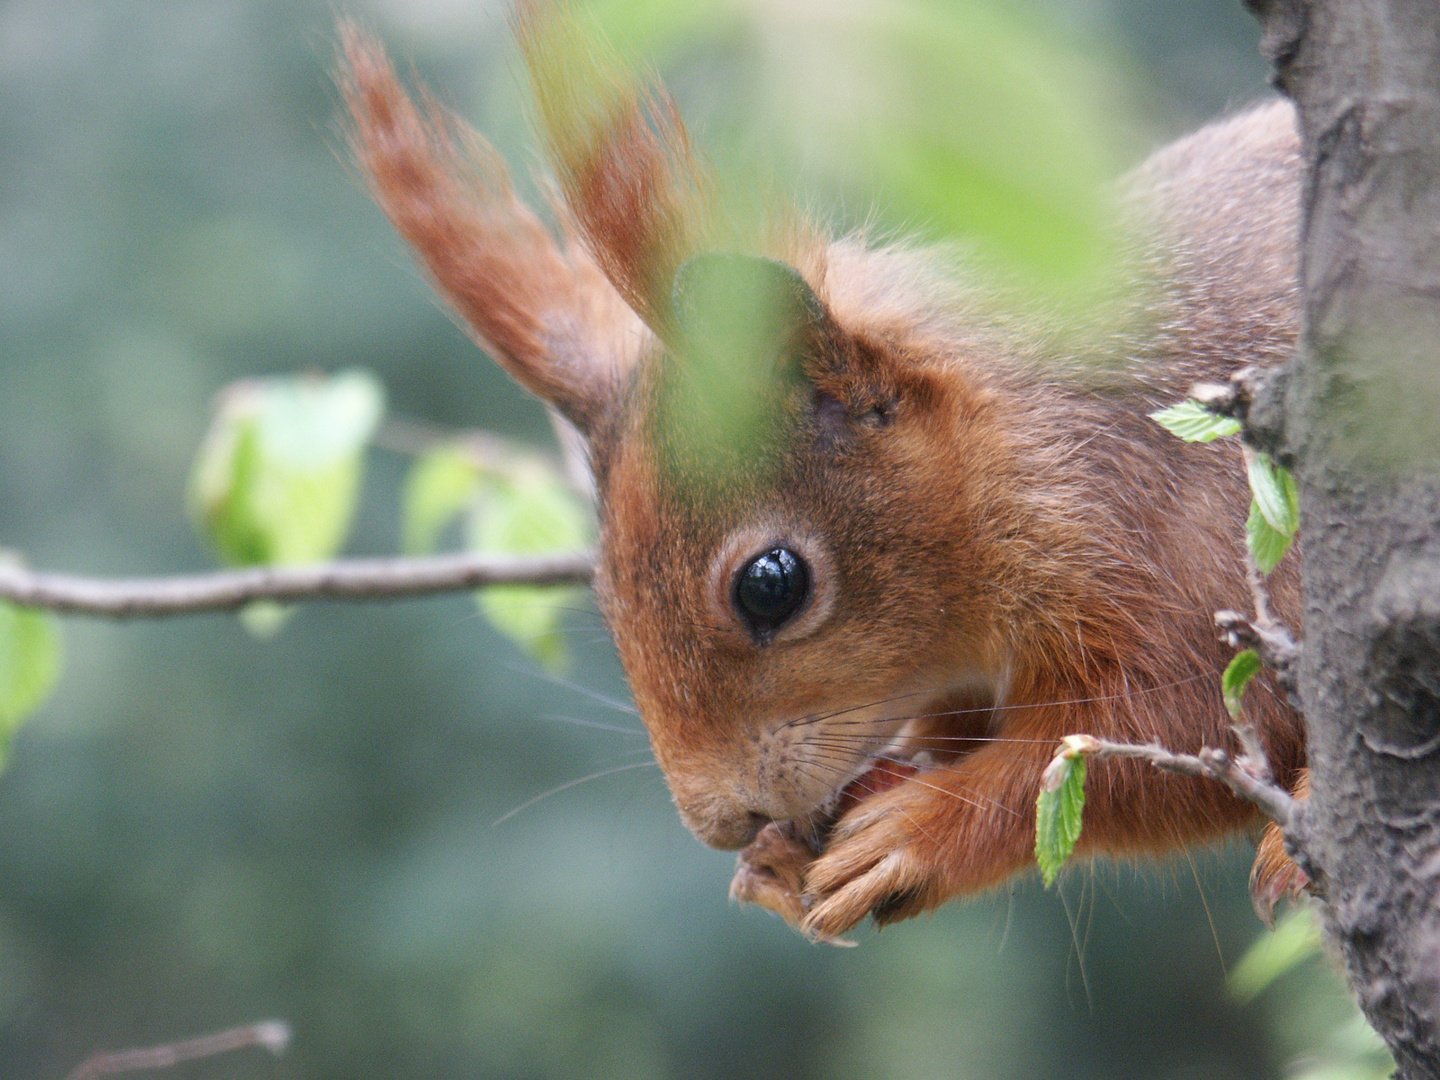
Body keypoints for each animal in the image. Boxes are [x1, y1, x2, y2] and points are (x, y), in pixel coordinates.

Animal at [342, 6, 1313, 938]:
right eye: (603, 588)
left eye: (771, 585)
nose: (722, 821)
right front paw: (781, 856)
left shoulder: (1172, 541)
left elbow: (1156, 744)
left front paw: (919, 828)